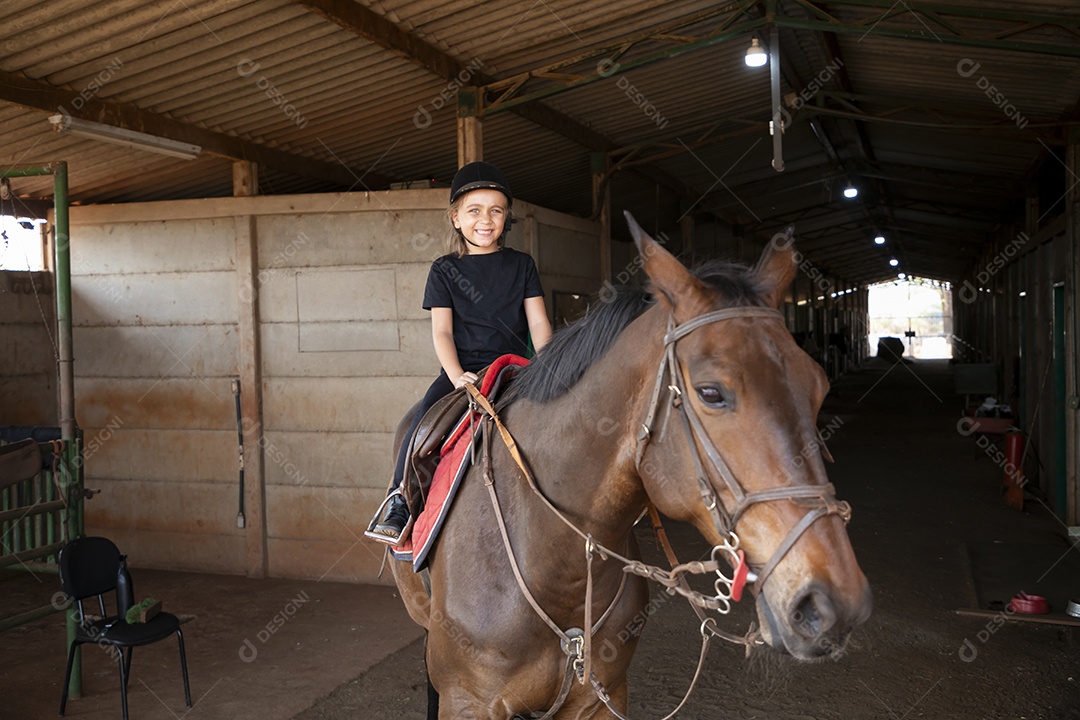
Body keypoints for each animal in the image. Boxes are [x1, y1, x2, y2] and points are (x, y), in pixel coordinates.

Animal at [393, 215, 872, 720]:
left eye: (818, 386)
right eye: (711, 393)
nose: (835, 604)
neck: (553, 562)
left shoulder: (601, 697)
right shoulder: (470, 702)